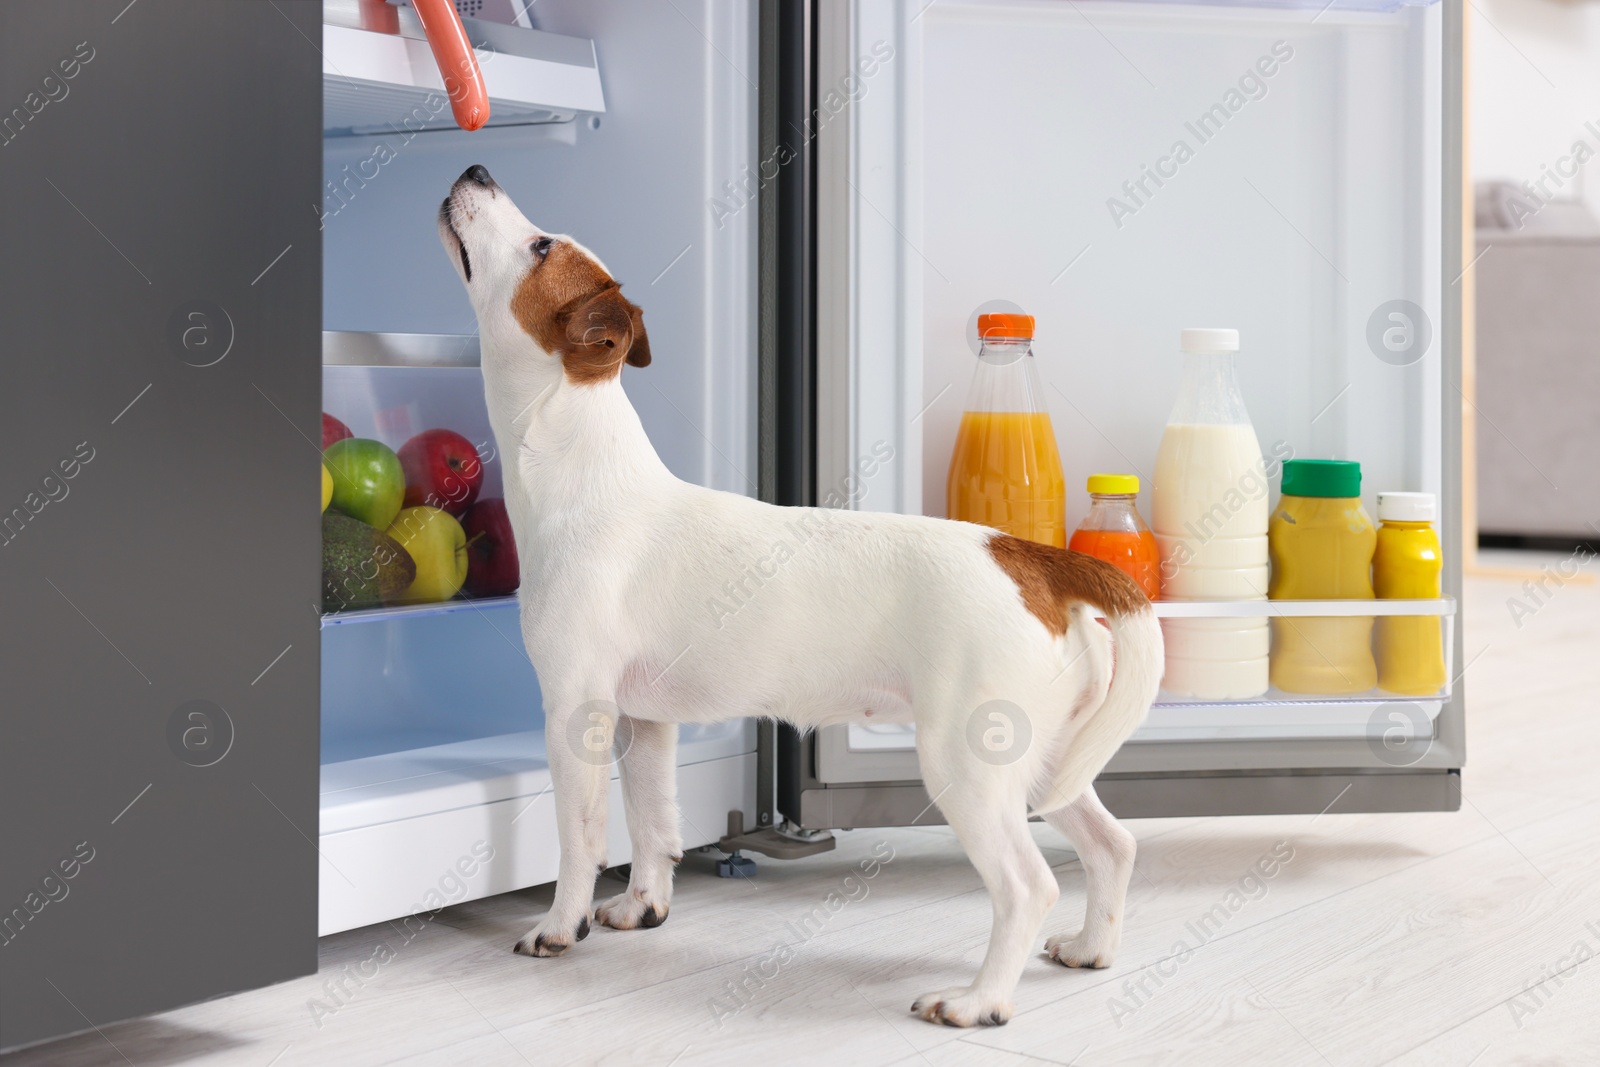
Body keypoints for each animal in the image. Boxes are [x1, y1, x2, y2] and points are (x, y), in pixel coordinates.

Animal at [438, 160, 1164, 1023]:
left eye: (541, 245)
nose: (478, 166)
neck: (584, 468)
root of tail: (1028, 556)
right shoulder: (646, 724)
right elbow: (651, 821)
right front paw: (643, 905)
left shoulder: (576, 714)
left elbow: (580, 835)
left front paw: (559, 924)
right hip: (1049, 761)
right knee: (1112, 844)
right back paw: (1093, 947)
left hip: (969, 767)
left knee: (1028, 884)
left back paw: (977, 998)